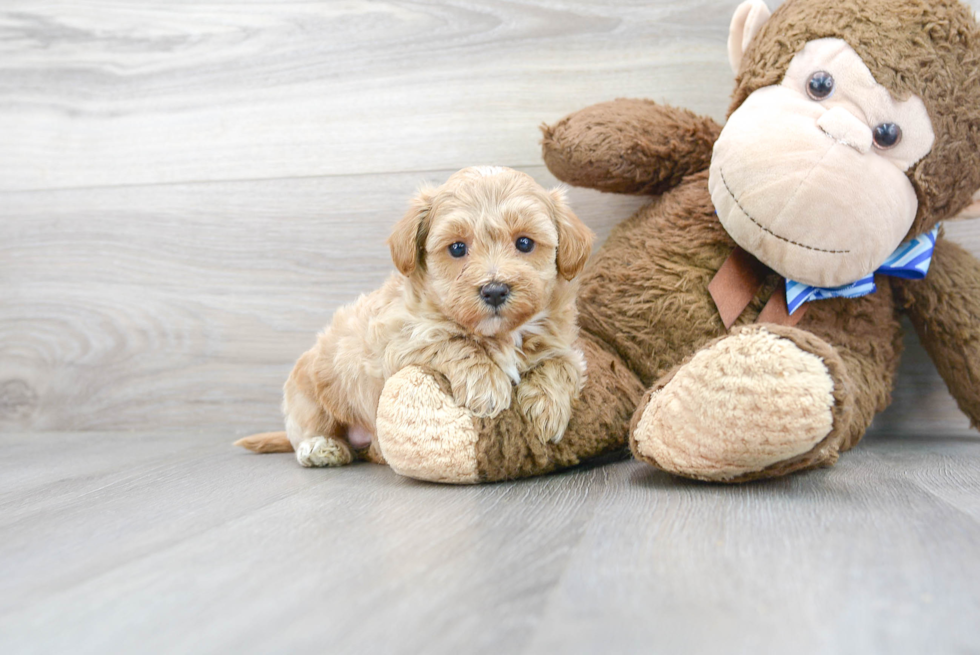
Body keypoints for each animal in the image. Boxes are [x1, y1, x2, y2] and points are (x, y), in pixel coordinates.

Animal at [234, 168, 592, 466]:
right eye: (457, 248)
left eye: (525, 243)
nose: (494, 291)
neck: (500, 334)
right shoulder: (399, 342)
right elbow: (454, 341)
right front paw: (487, 386)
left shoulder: (563, 344)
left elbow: (562, 364)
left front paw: (548, 409)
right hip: (310, 392)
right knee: (306, 431)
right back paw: (322, 447)